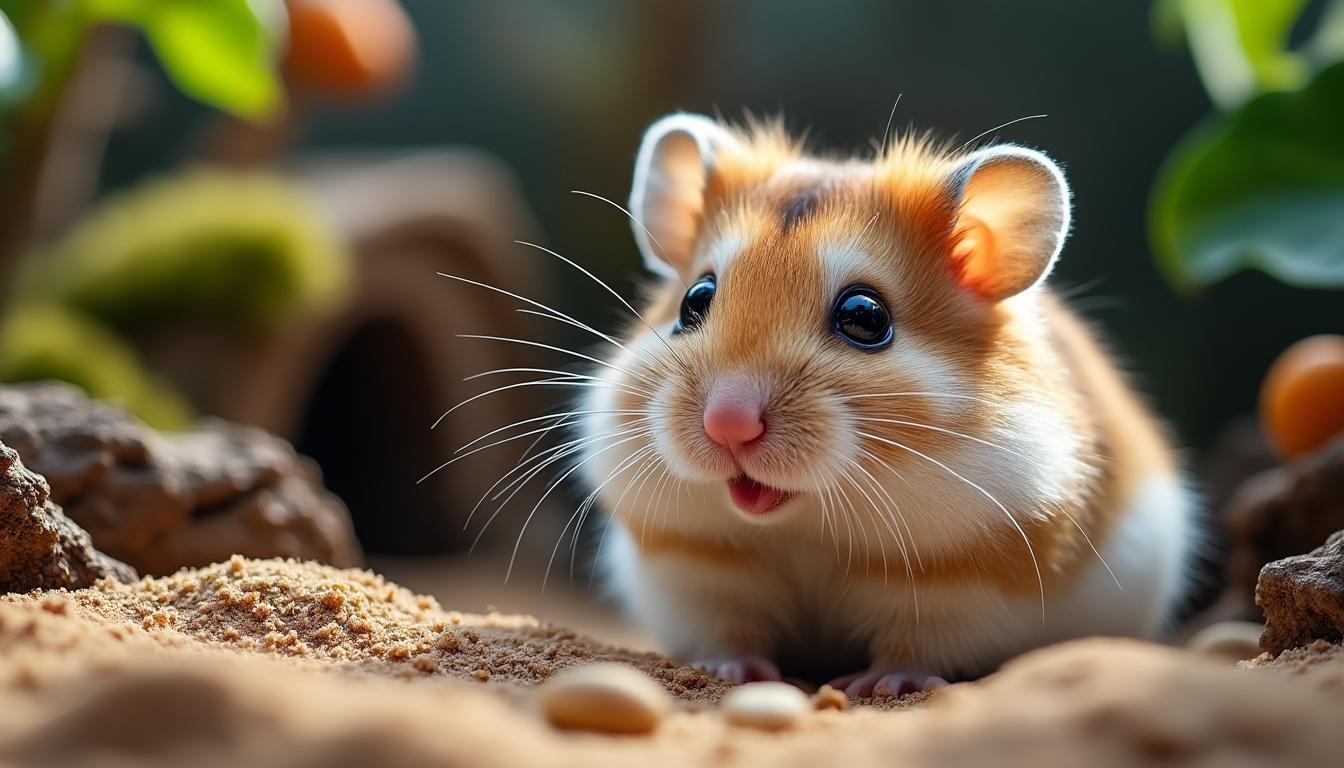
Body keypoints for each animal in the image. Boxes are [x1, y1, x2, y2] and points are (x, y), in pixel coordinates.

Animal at [574, 113, 1198, 696]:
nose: (727, 423)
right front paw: (728, 672)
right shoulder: (696, 572)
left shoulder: (960, 591)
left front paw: (879, 686)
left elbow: (914, 646)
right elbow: (729, 631)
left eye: (865, 316)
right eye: (694, 301)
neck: (807, 525)